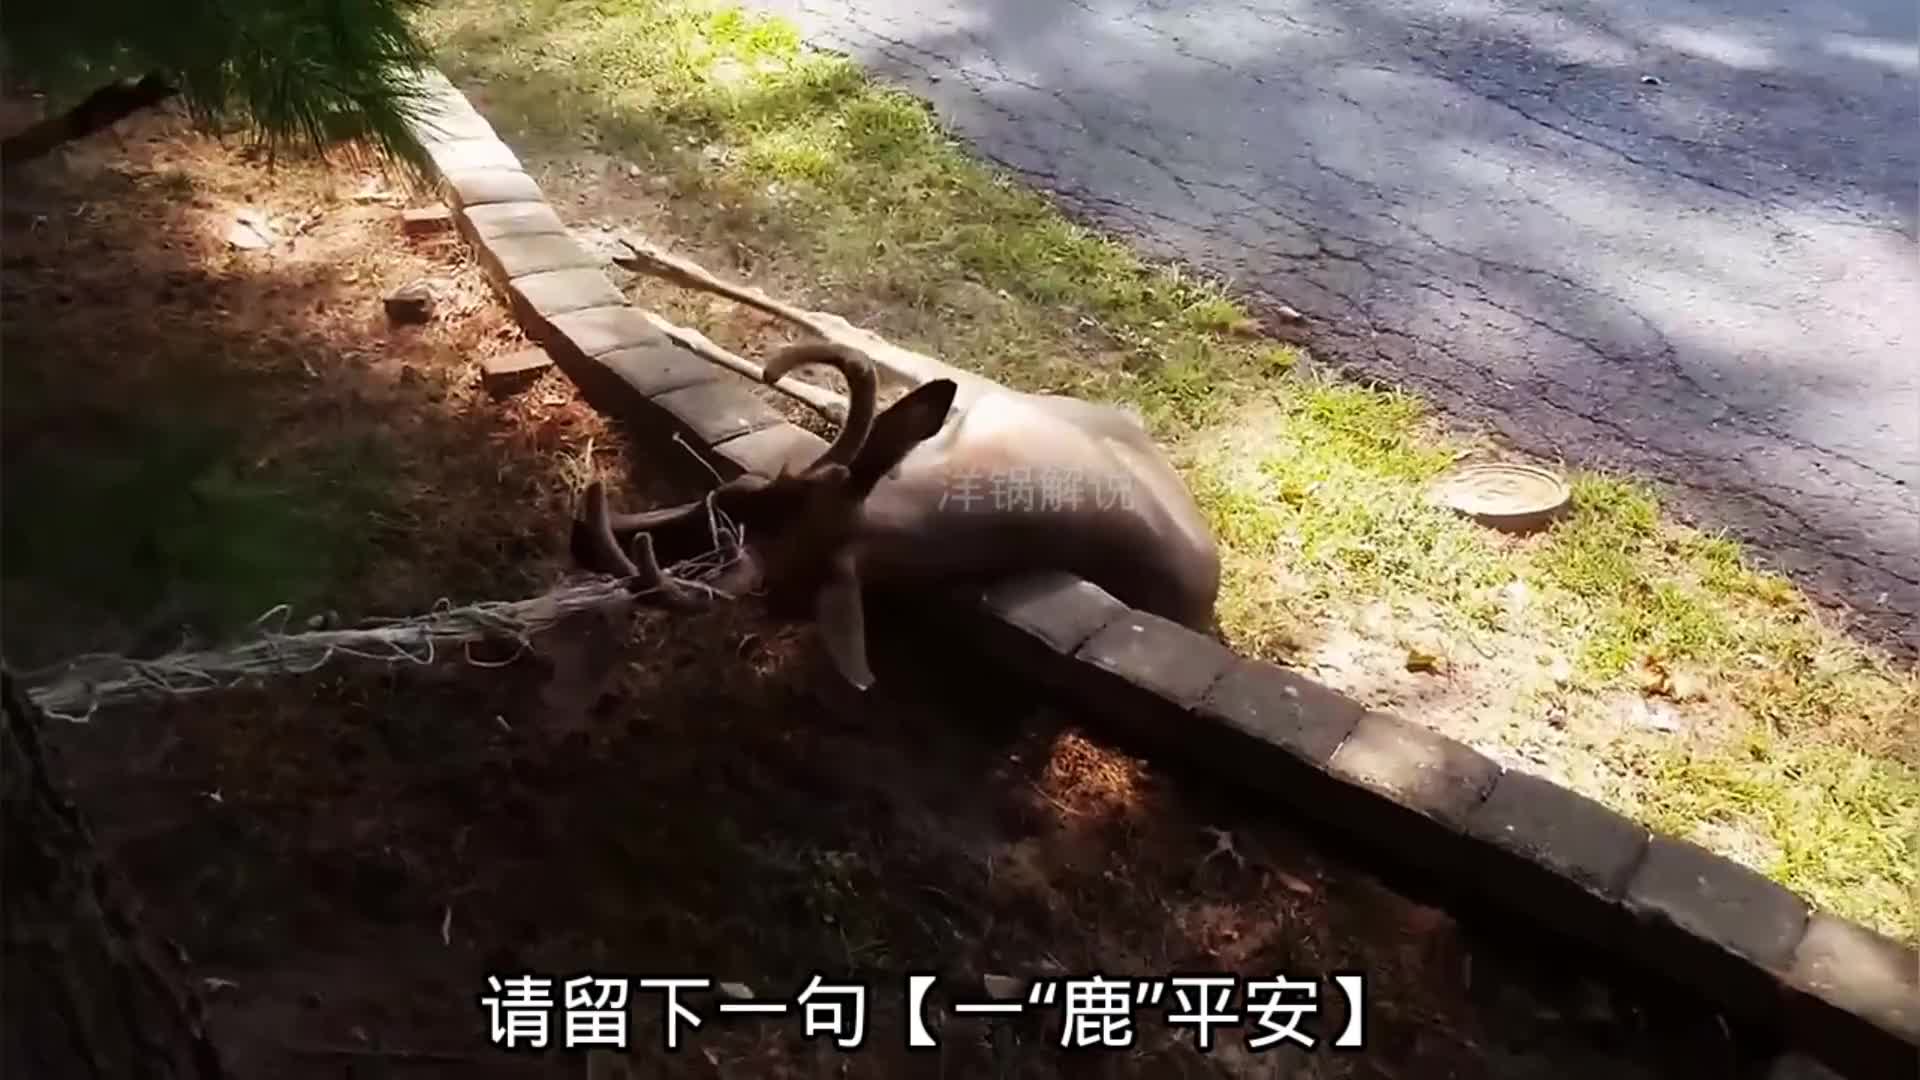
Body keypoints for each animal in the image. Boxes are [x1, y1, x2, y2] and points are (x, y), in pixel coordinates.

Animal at [569, 240, 1222, 692]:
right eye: (740, 488)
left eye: (744, 560)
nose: (579, 536)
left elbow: (839, 349)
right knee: (846, 354)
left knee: (843, 357)